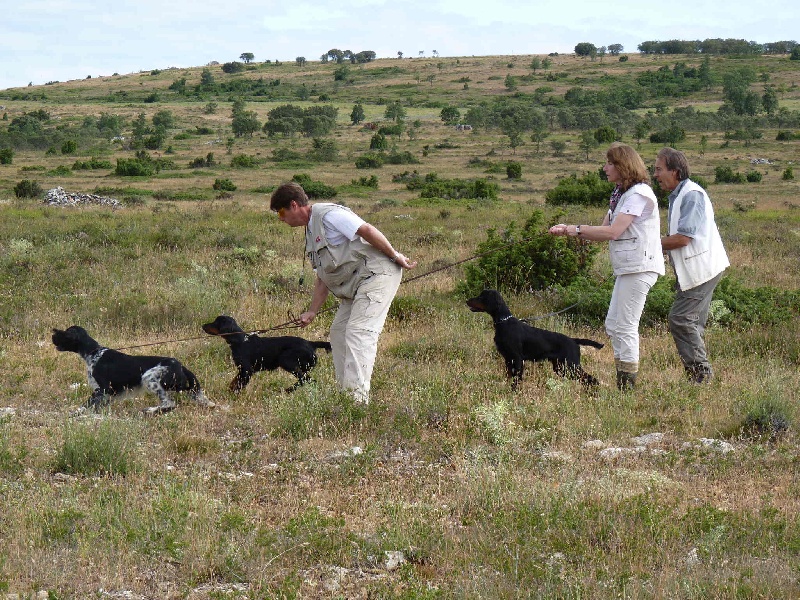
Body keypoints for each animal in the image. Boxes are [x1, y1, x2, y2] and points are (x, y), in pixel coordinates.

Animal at [51, 326, 214, 414]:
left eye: (65, 333)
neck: (93, 352)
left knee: (169, 403)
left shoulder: (103, 389)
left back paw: (149, 410)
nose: (53, 333)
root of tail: (180, 366)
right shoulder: (108, 394)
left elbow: (85, 405)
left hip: (149, 377)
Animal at [466, 290, 604, 390]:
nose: (467, 301)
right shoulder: (508, 359)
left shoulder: (517, 358)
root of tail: (574, 340)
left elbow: (516, 379)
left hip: (570, 366)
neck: (504, 323)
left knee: (592, 380)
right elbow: (509, 377)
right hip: (561, 368)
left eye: (482, 297)